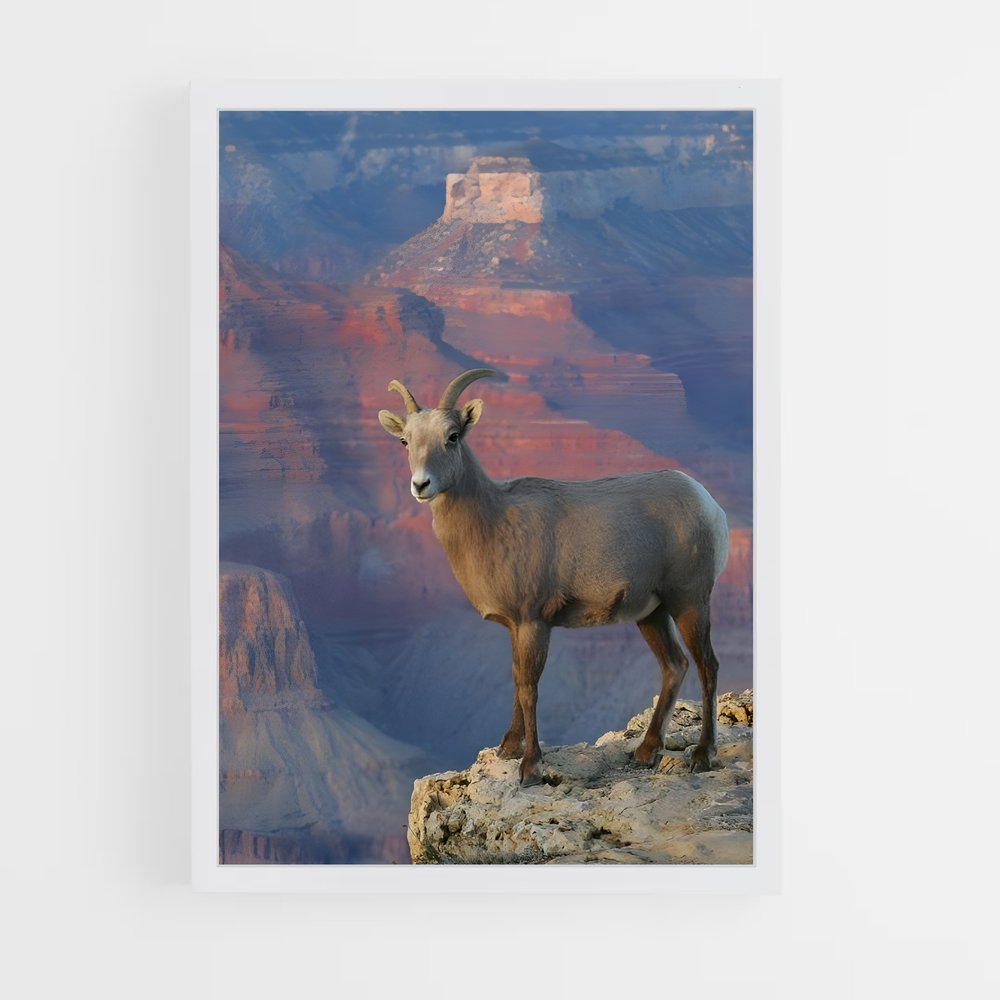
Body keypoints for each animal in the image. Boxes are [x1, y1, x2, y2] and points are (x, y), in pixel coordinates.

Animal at [378, 368, 730, 786]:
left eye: (453, 436)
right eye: (405, 440)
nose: (421, 485)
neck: (493, 522)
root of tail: (709, 504)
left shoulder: (534, 623)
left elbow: (529, 688)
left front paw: (530, 767)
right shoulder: (515, 627)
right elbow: (516, 681)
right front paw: (508, 749)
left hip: (689, 601)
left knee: (707, 665)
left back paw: (702, 756)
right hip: (652, 614)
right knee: (674, 665)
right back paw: (645, 752)